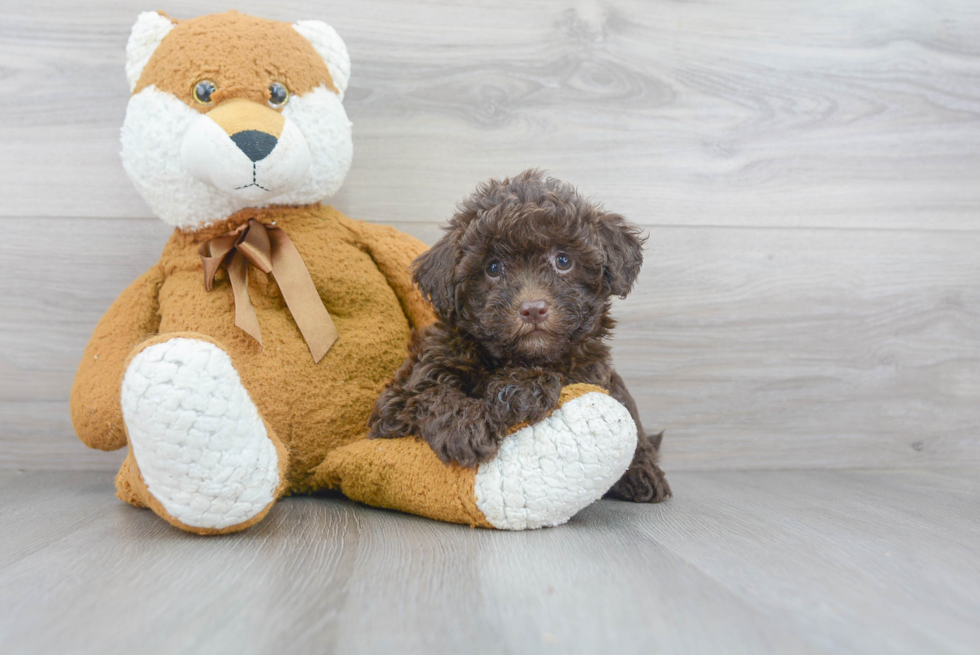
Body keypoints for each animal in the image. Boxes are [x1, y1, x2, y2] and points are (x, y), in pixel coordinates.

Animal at [372, 169, 668, 502]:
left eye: (563, 261)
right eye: (493, 268)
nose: (533, 309)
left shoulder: (590, 372)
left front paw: (519, 388)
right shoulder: (396, 404)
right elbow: (431, 394)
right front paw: (466, 428)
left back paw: (643, 474)